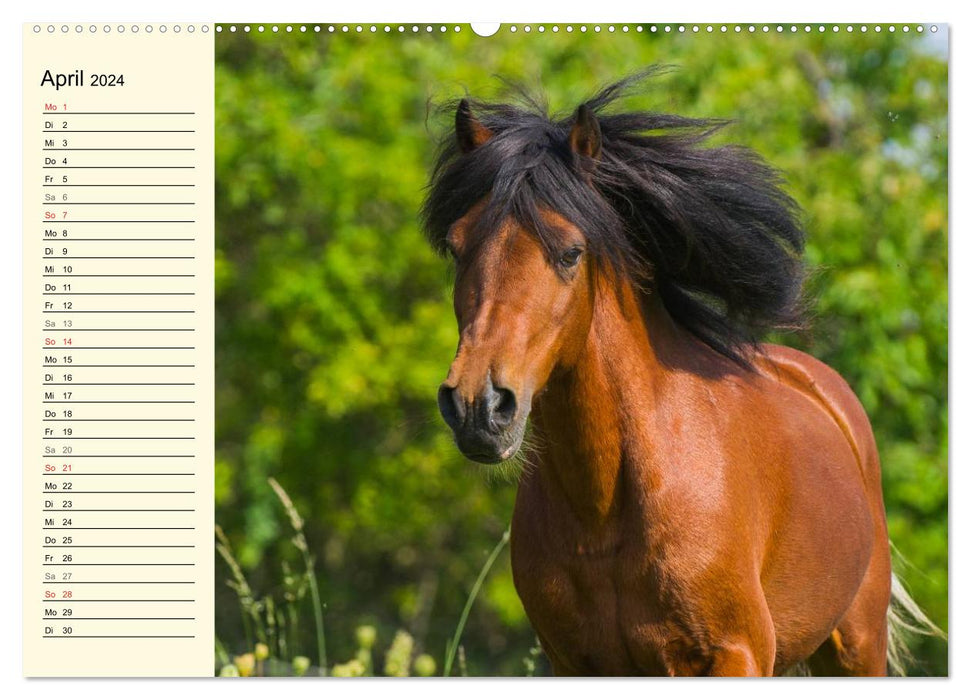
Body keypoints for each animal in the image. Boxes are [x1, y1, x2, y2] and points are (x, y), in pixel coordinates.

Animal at [422, 74, 936, 676]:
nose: (478, 406)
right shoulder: (574, 663)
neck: (605, 511)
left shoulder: (733, 654)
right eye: (457, 248)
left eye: (571, 252)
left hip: (856, 646)